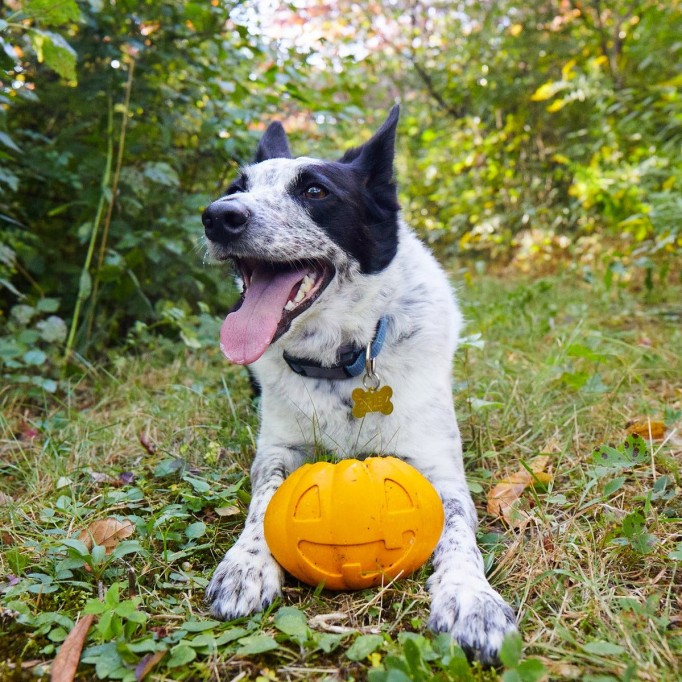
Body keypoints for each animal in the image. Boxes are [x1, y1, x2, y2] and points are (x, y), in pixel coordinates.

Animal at [201, 107, 516, 664]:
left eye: (315, 191)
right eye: (236, 188)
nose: (218, 216)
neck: (341, 362)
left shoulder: (440, 468)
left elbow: (458, 531)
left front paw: (470, 599)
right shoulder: (278, 450)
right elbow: (264, 501)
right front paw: (246, 563)